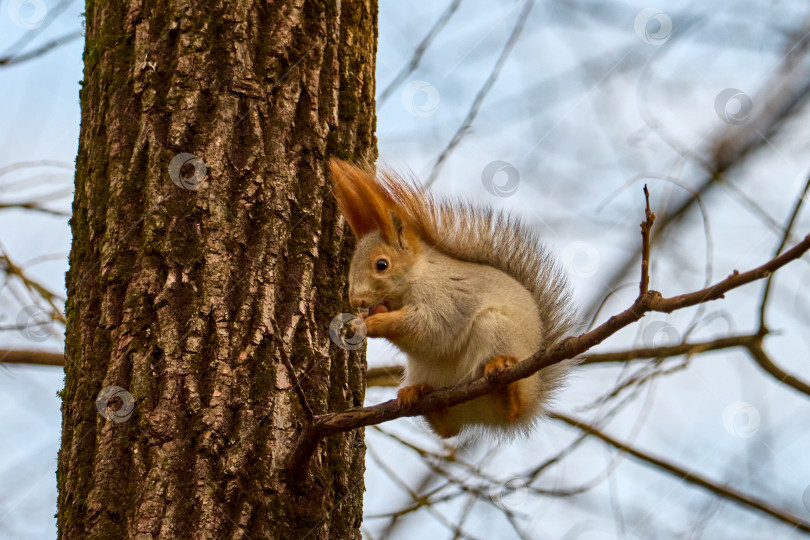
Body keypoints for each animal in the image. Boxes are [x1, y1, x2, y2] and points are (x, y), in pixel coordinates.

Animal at [326, 160, 576, 438]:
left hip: (496, 330)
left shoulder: (447, 298)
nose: (356, 301)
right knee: (448, 430)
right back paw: (417, 394)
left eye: (382, 264)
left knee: (511, 409)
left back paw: (503, 381)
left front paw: (372, 324)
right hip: (422, 370)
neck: (417, 276)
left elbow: (433, 328)